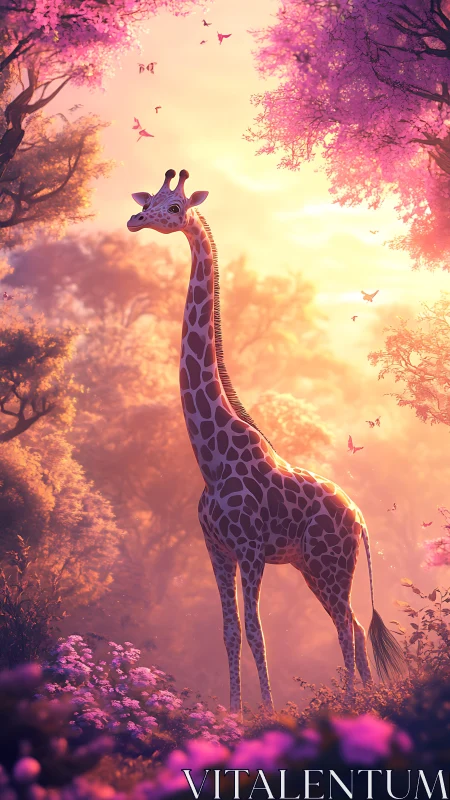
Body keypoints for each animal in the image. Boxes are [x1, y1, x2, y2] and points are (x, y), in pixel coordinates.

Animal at [127, 169, 404, 714]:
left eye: (175, 208)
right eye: (149, 199)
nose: (135, 219)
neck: (212, 459)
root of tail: (361, 518)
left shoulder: (251, 549)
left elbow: (258, 632)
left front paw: (269, 712)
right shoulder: (216, 549)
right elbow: (230, 631)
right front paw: (234, 712)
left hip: (330, 563)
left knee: (345, 626)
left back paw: (349, 702)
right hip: (312, 566)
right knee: (354, 624)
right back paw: (365, 698)